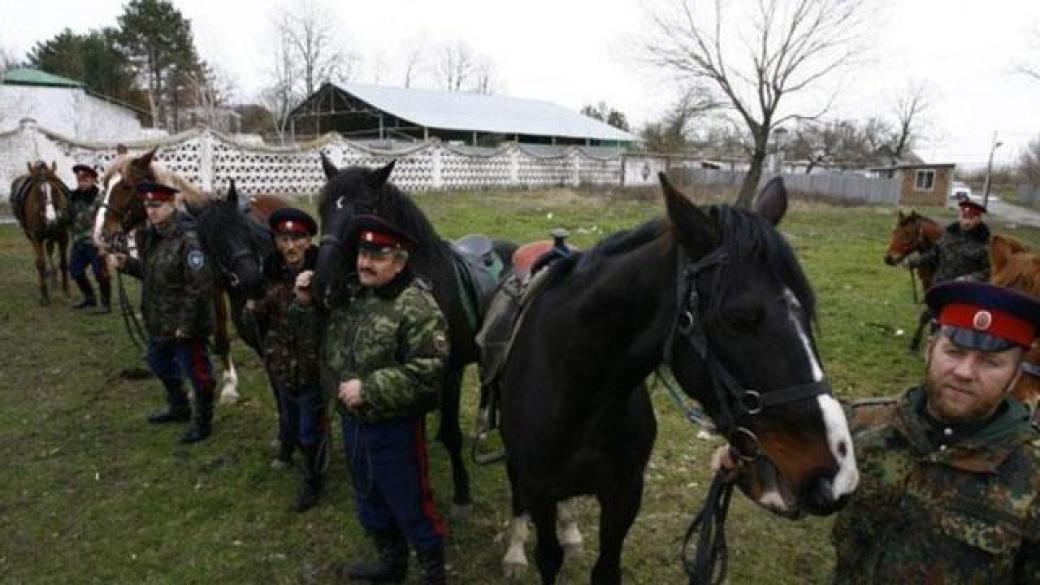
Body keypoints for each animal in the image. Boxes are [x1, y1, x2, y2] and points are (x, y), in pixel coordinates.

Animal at [10, 161, 71, 305]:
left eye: (54, 189)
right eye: (37, 191)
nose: (51, 218)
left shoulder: (63, 236)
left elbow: (63, 262)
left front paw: (66, 291)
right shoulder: (36, 237)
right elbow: (40, 264)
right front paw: (44, 295)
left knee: (49, 249)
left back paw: (54, 278)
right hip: (31, 235)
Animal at [92, 148, 284, 403]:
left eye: (126, 186)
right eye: (104, 184)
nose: (100, 235)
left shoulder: (213, 289)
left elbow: (220, 335)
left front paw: (229, 386)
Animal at [311, 156, 516, 511]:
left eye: (363, 211)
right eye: (323, 208)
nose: (322, 288)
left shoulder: (450, 370)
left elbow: (451, 435)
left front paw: (461, 491)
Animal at [493, 175, 859, 584]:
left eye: (808, 310)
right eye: (738, 318)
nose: (838, 474)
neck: (577, 381)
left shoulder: (625, 493)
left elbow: (606, 568)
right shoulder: (540, 491)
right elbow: (548, 556)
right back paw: (514, 551)